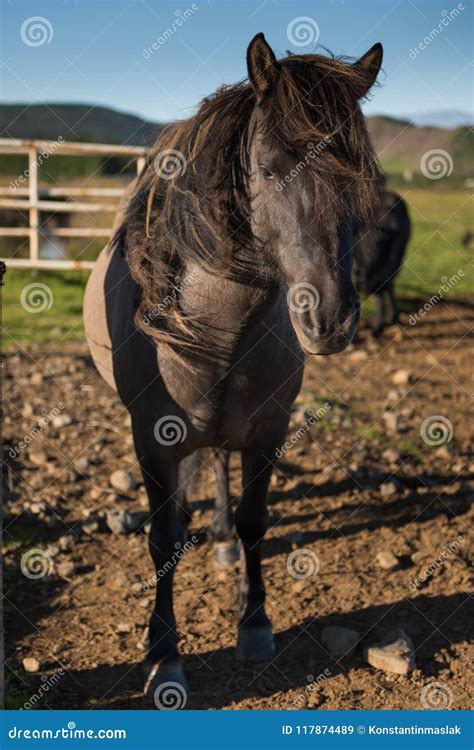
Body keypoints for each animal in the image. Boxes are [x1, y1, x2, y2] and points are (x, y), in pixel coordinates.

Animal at [83, 32, 384, 704]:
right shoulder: (152, 438)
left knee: (220, 463)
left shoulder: (268, 429)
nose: (330, 318)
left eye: (363, 176)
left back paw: (219, 539)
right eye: (270, 168)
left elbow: (253, 522)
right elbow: (162, 539)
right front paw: (163, 655)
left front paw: (254, 624)